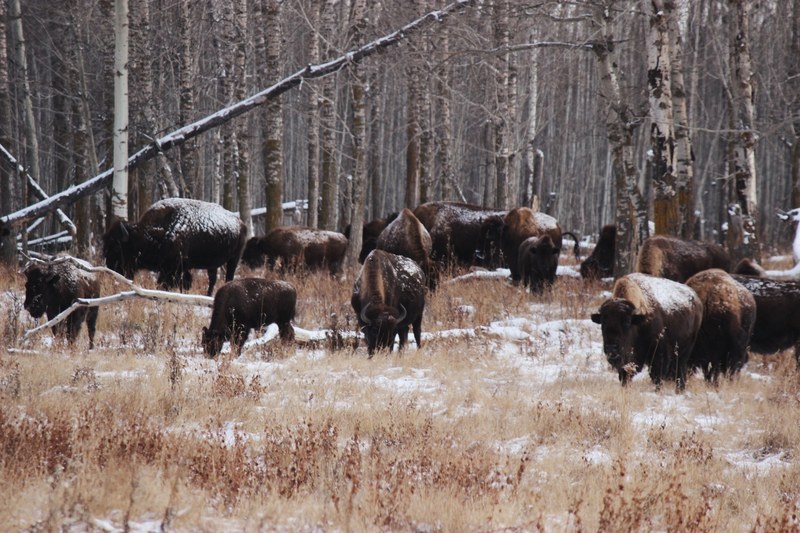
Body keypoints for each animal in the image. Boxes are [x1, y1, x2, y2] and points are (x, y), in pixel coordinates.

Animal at [102, 198, 247, 296]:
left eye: (116, 246)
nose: (109, 266)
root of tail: (240, 222)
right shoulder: (173, 269)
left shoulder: (174, 269)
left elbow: (167, 285)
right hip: (212, 264)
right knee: (212, 280)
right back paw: (208, 295)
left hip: (234, 259)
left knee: (228, 277)